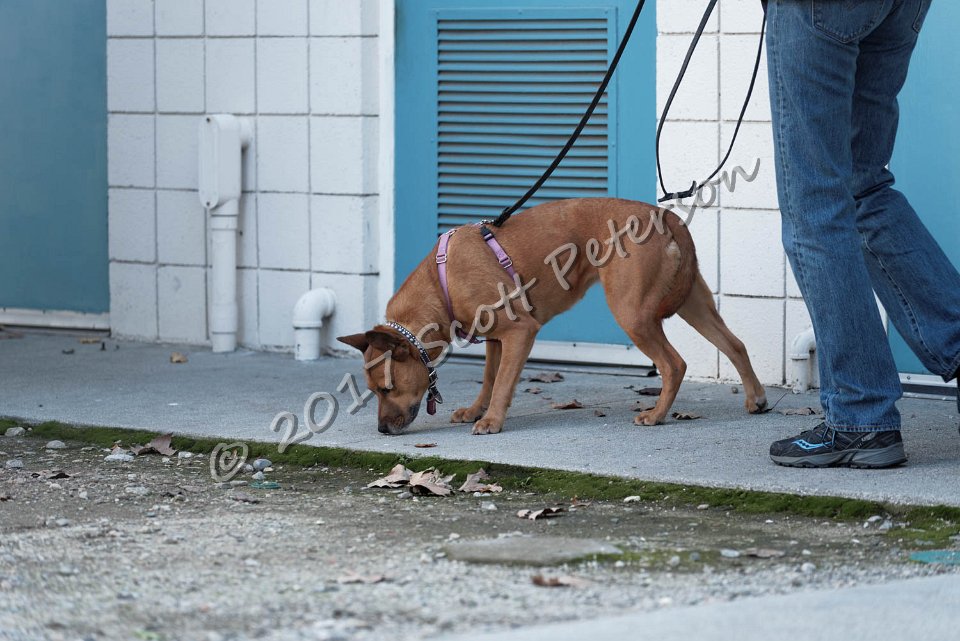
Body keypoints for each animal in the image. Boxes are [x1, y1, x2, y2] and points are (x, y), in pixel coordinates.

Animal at [338, 198, 767, 435]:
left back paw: (657, 415)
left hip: (633, 314)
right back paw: (756, 399)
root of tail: (667, 217)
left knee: (673, 364)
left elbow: (503, 384)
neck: (440, 283)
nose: (381, 430)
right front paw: (475, 410)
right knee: (735, 345)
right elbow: (488, 379)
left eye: (387, 388)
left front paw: (491, 422)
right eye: (374, 391)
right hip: (693, 304)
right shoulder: (495, 339)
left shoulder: (519, 332)